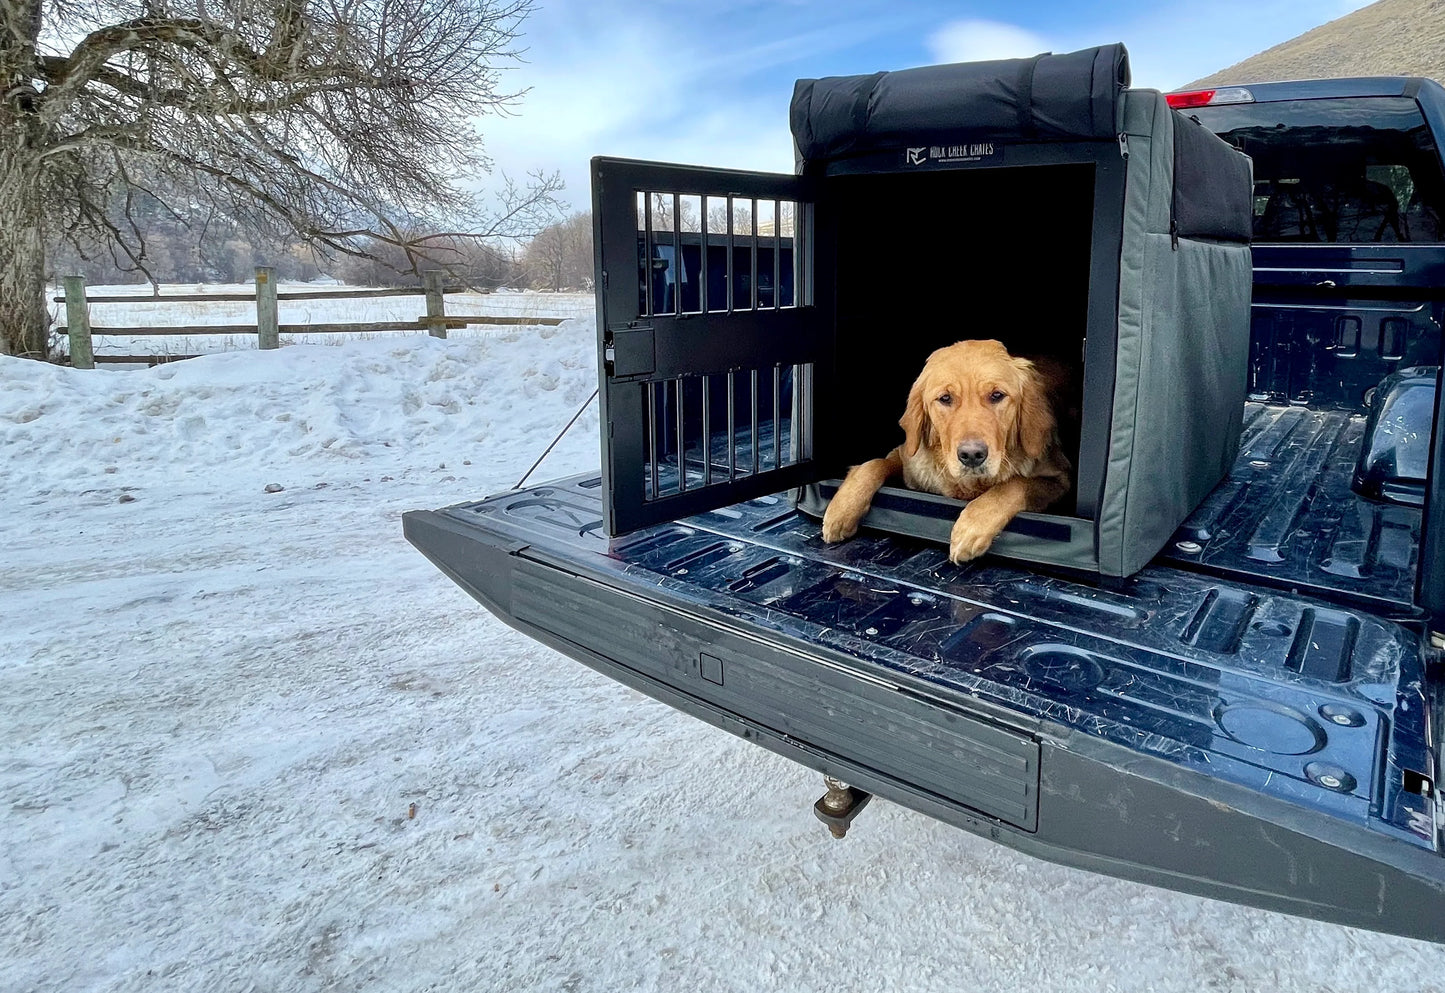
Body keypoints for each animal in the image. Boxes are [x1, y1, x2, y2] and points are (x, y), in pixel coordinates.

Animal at [820, 339, 1069, 560]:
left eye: (997, 395)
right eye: (945, 398)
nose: (971, 455)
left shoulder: (1060, 479)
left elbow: (1013, 485)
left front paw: (971, 528)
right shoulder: (908, 458)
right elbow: (874, 464)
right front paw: (841, 510)